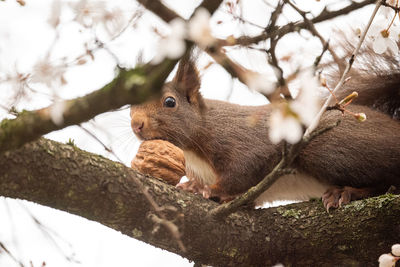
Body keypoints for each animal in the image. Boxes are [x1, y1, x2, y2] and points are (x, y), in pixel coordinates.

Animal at [130, 50, 400, 210]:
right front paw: (193, 186)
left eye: (169, 102)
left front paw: (207, 190)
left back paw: (347, 192)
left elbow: (242, 172)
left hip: (332, 151)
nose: (136, 124)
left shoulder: (241, 142)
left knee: (387, 180)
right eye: (131, 103)